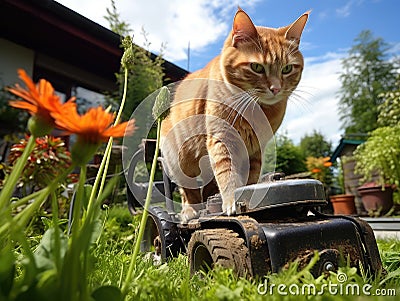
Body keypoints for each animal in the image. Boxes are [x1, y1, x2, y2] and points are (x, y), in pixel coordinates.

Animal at [159, 7, 310, 220]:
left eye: (287, 69)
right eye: (257, 67)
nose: (276, 88)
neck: (257, 109)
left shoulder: (255, 150)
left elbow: (250, 178)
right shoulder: (222, 139)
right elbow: (227, 173)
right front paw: (232, 201)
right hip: (178, 161)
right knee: (188, 191)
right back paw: (190, 211)